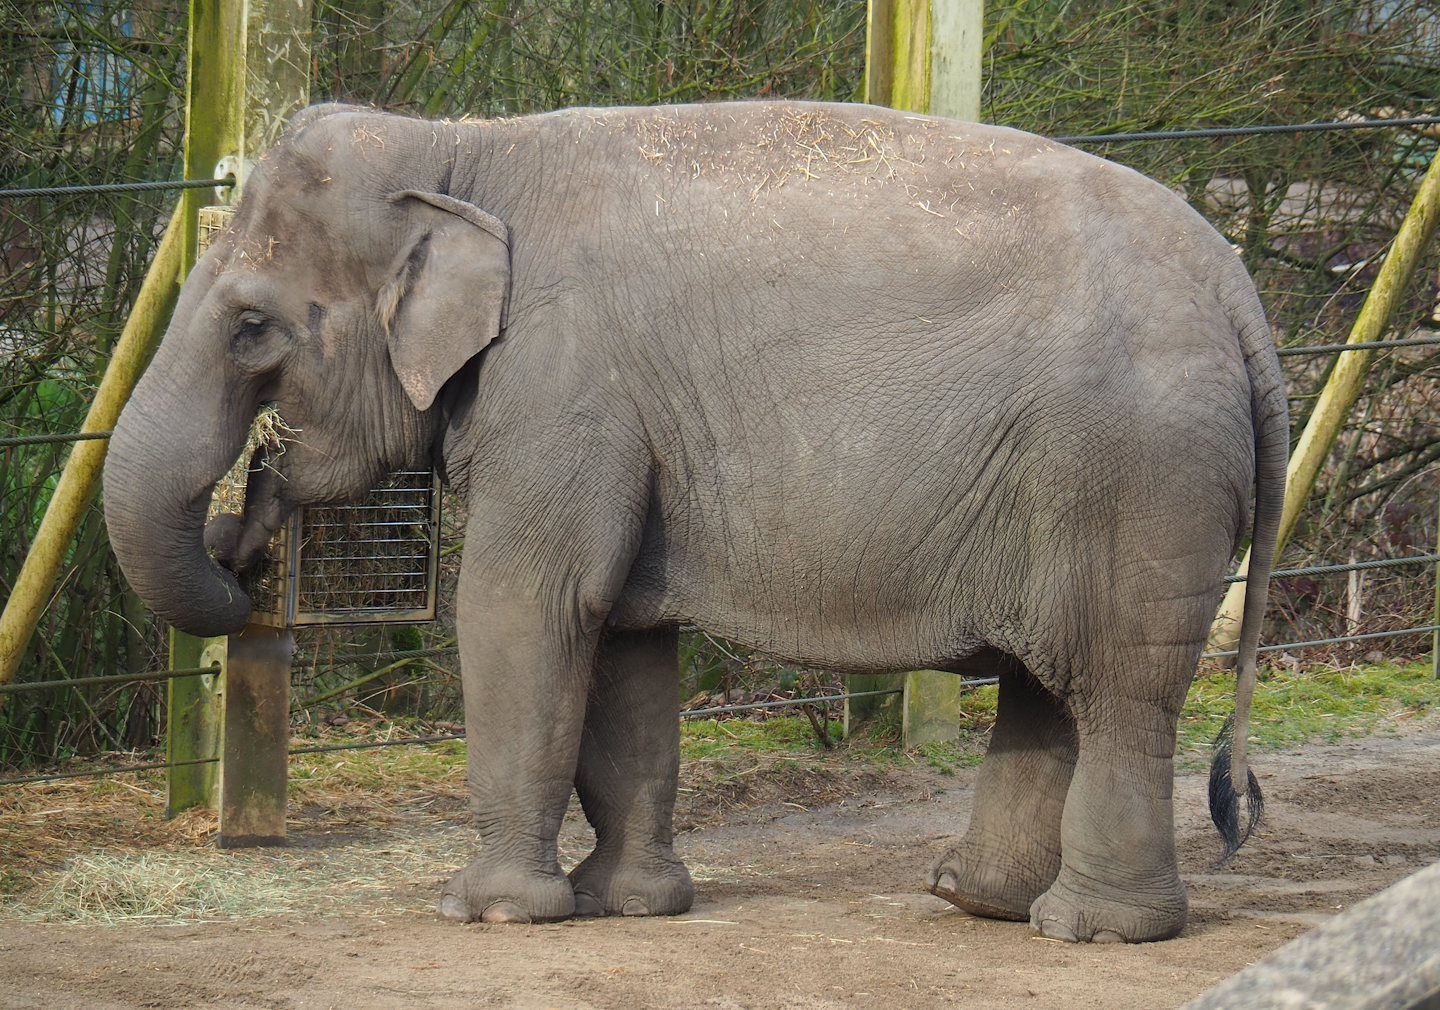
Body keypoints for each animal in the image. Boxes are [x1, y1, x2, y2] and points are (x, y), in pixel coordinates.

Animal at [103, 99, 1285, 943]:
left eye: (252, 328)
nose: (242, 544)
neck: (463, 149)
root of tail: (1239, 292)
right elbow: (624, 639)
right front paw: (628, 903)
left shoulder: (562, 382)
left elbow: (524, 607)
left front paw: (491, 911)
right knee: (1052, 683)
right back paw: (971, 898)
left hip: (1136, 475)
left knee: (1118, 683)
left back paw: (1092, 928)